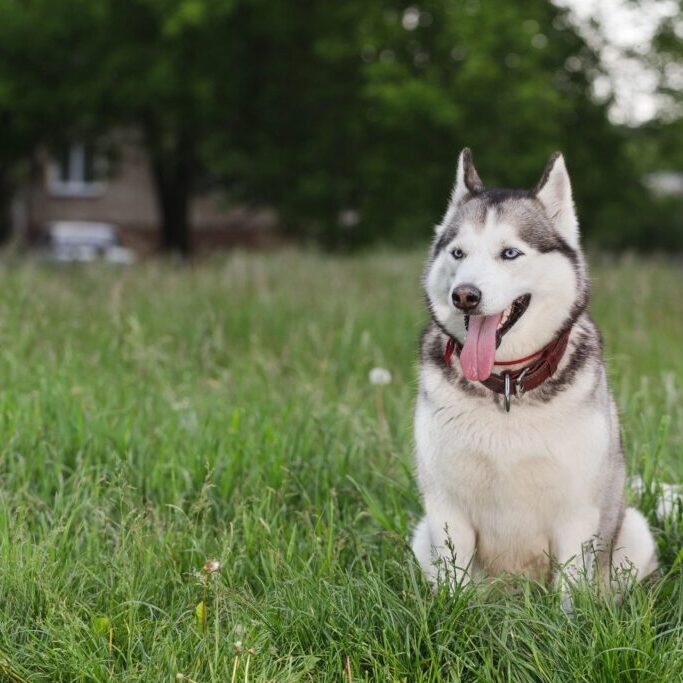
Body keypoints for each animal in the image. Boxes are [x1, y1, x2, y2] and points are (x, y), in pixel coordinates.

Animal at [412, 147, 656, 600]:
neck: (508, 384)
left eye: (509, 253)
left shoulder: (576, 511)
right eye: (458, 254)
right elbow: (454, 584)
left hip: (633, 530)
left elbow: (569, 592)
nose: (464, 295)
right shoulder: (445, 506)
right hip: (421, 534)